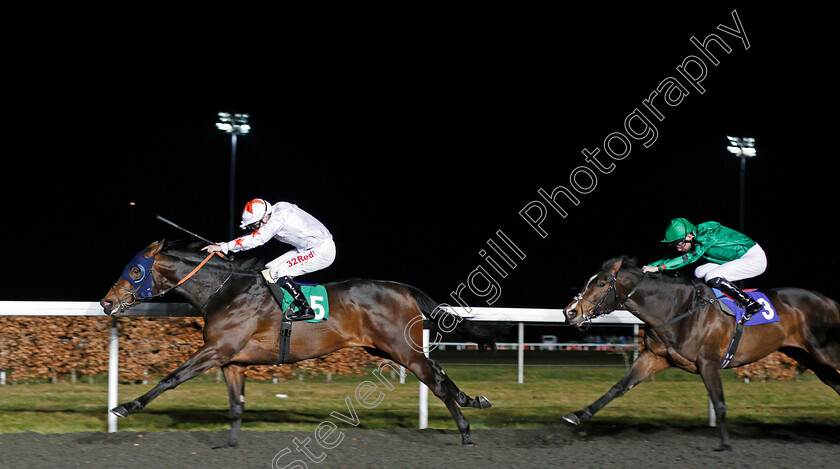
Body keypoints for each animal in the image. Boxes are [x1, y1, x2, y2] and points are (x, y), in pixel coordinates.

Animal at [99, 241, 496, 446]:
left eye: (135, 270)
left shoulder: (216, 350)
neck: (225, 291)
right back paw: (473, 400)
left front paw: (125, 407)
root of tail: (404, 289)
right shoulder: (233, 361)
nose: (105, 302)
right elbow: (236, 406)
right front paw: (230, 443)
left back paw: (465, 431)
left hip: (401, 348)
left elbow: (171, 378)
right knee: (438, 373)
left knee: (436, 380)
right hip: (388, 349)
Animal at [560, 256, 840, 450]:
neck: (677, 309)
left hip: (826, 353)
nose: (570, 312)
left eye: (601, 283)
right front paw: (578, 415)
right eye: (588, 282)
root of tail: (830, 302)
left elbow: (719, 401)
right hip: (808, 357)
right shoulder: (654, 357)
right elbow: (619, 386)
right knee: (835, 382)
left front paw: (725, 443)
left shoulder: (708, 363)